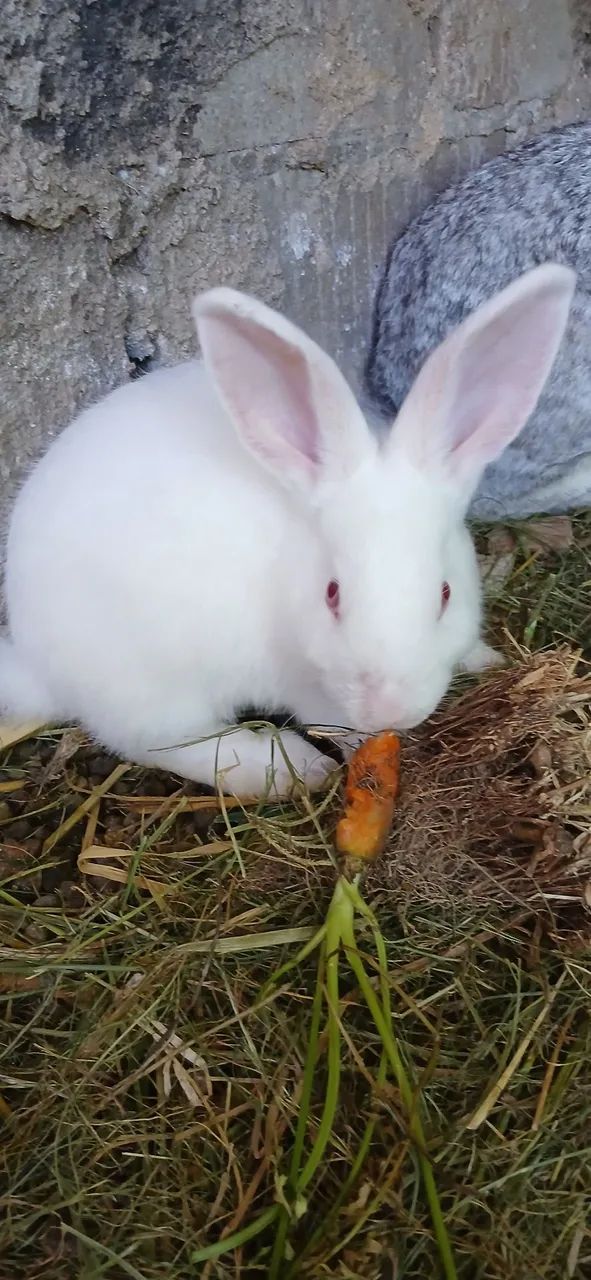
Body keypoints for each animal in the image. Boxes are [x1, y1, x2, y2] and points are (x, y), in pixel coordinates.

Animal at [0, 266, 573, 796]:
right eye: (332, 594)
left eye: (445, 594)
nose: (388, 709)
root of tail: (34, 657)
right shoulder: (303, 684)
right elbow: (327, 719)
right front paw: (363, 746)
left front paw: (486, 659)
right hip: (150, 684)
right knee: (166, 744)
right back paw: (288, 769)